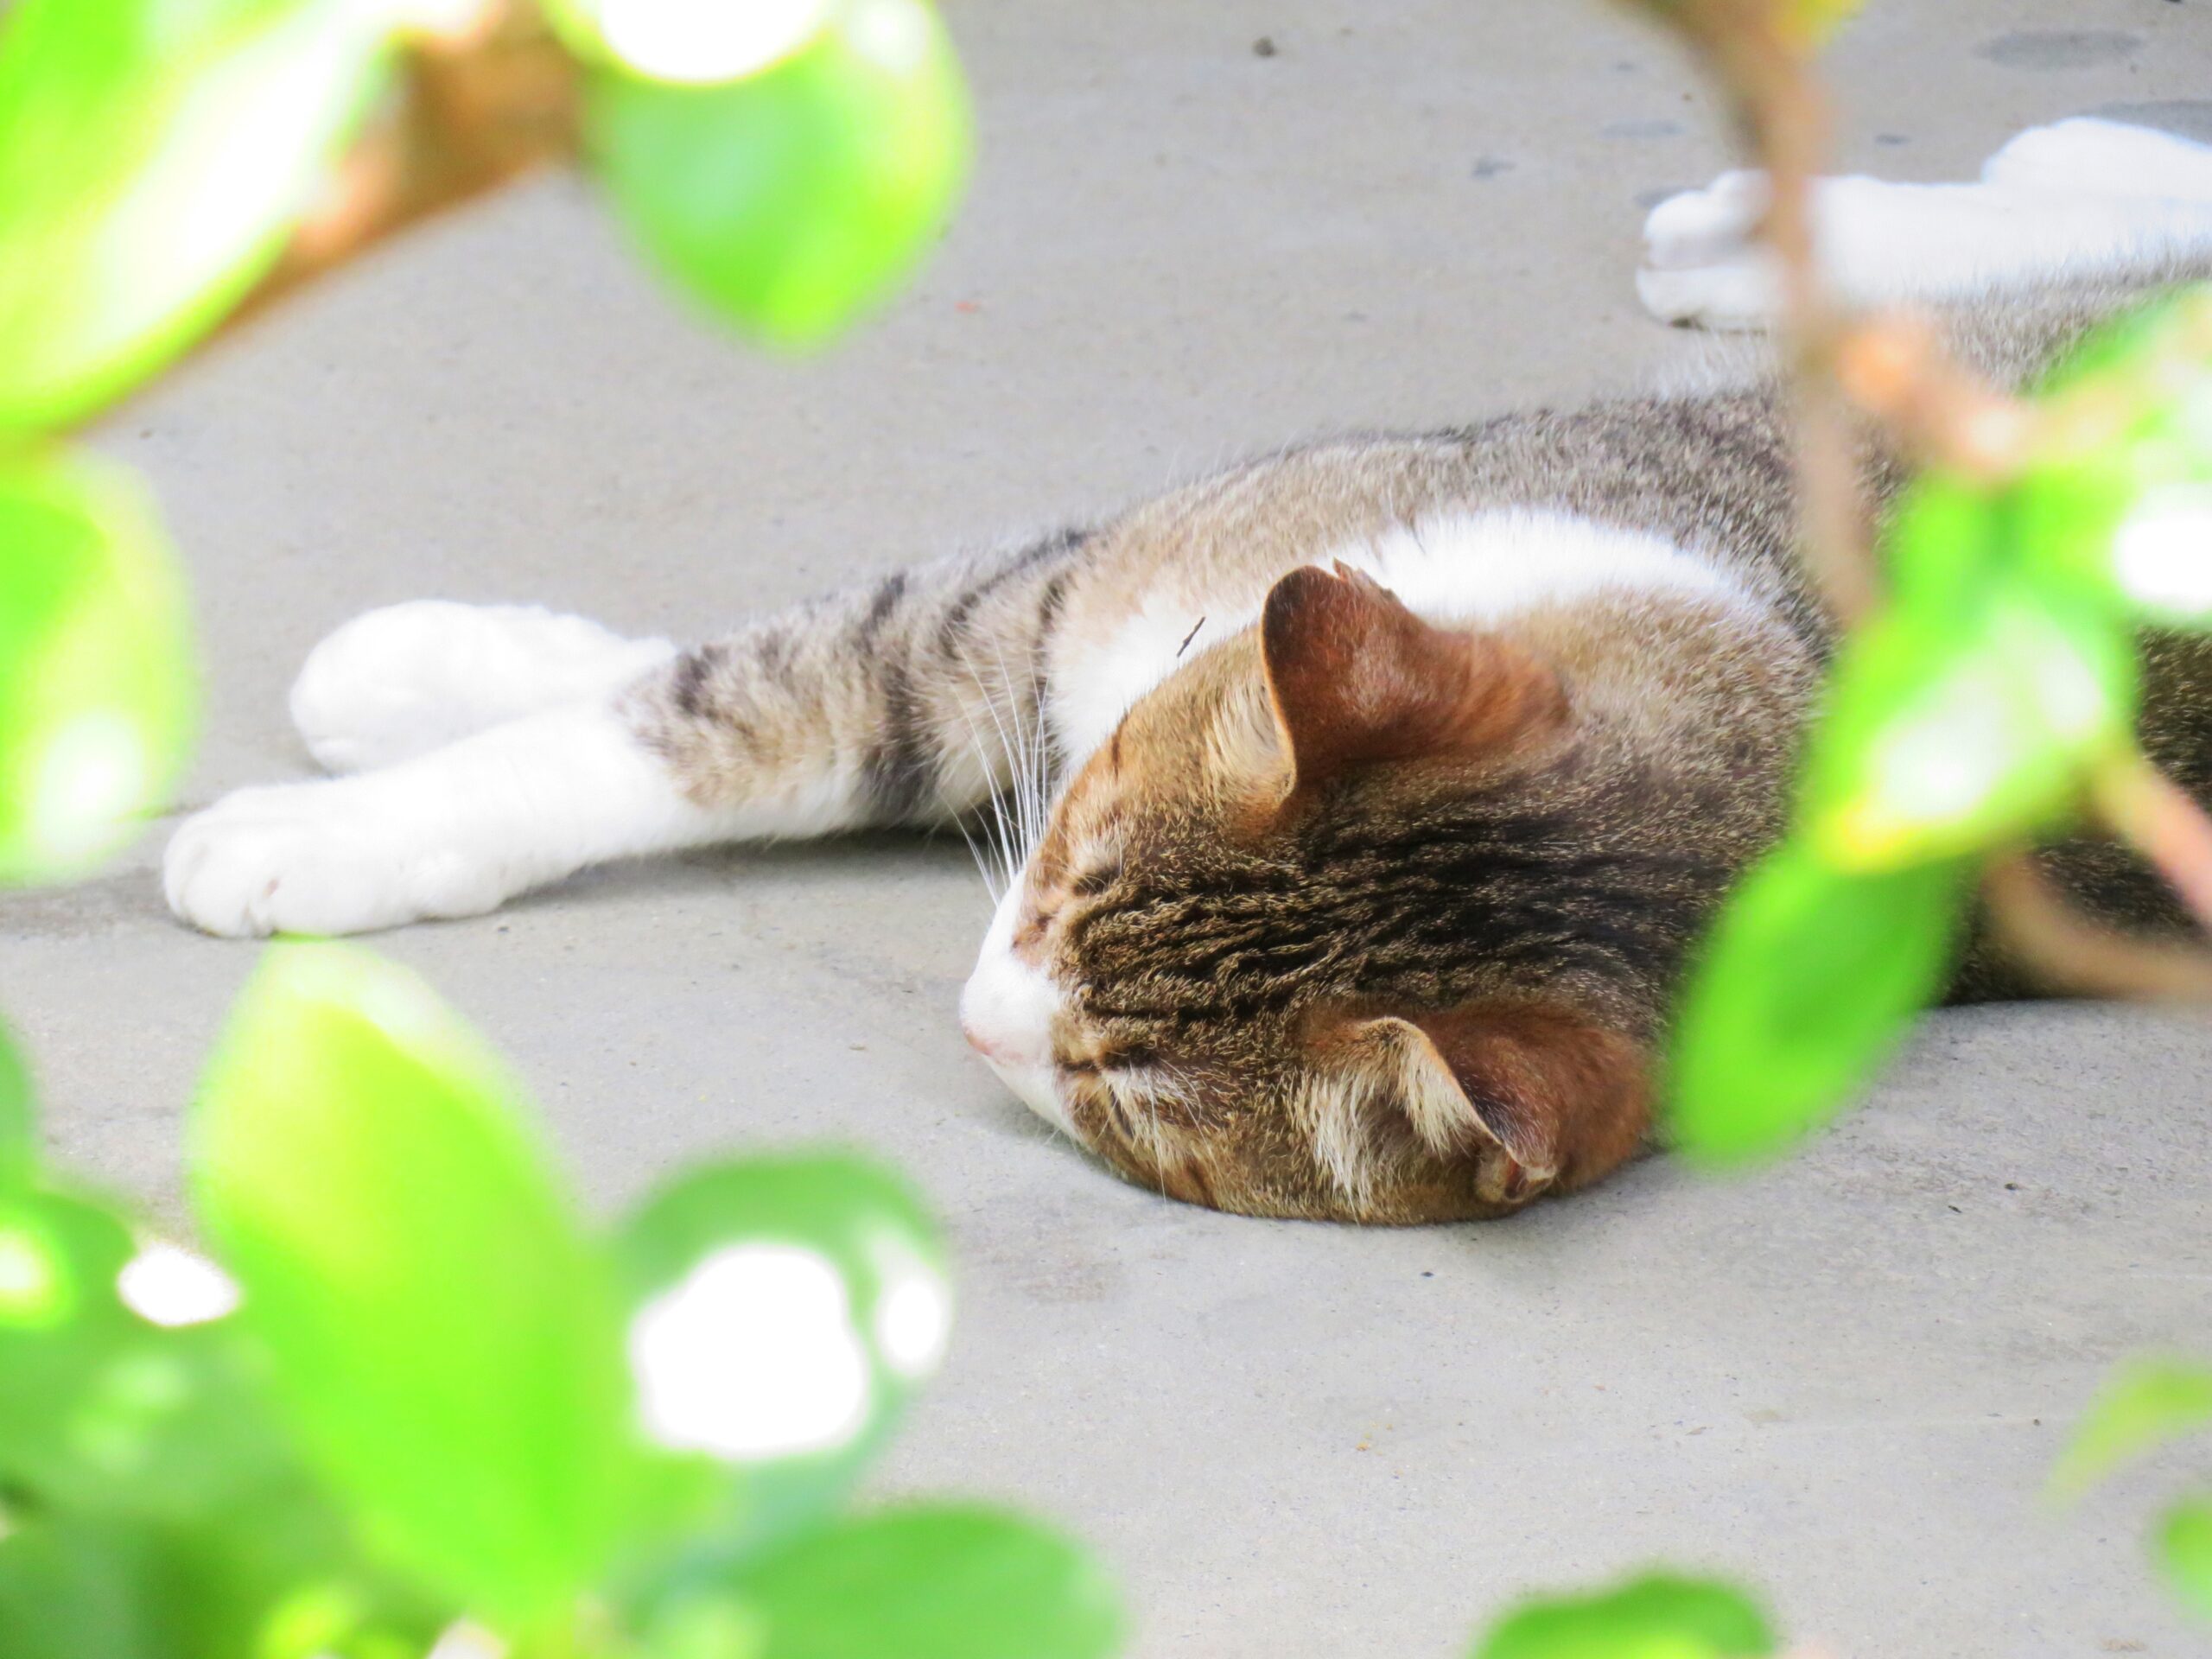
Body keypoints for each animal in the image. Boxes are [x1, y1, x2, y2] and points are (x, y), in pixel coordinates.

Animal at [163, 119, 2212, 1221]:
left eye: (1128, 1096)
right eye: (1064, 861)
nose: (972, 1018)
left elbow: (750, 706)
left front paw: (317, 818)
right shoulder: (1064, 591)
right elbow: (751, 687)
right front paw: (403, 703)